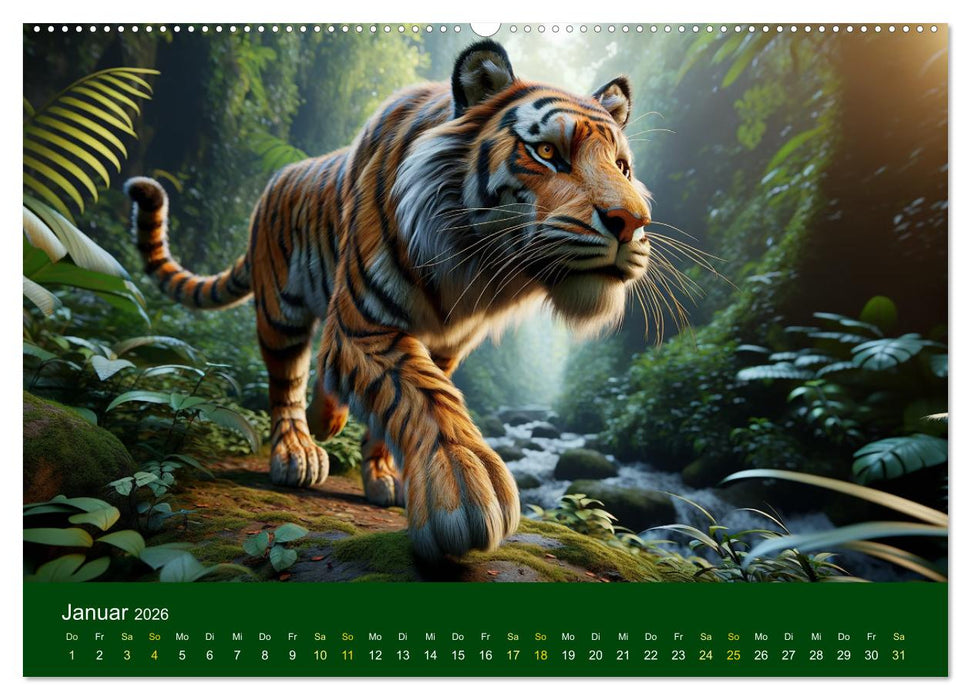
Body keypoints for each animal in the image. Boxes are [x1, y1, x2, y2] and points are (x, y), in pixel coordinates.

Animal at [125, 40, 652, 561]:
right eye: (546, 152)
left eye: (623, 167)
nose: (633, 221)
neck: (477, 267)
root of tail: (273, 183)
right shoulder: (365, 321)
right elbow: (424, 394)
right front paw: (462, 484)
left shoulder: (445, 345)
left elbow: (392, 406)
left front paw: (385, 475)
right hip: (281, 313)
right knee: (286, 385)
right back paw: (296, 452)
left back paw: (327, 419)